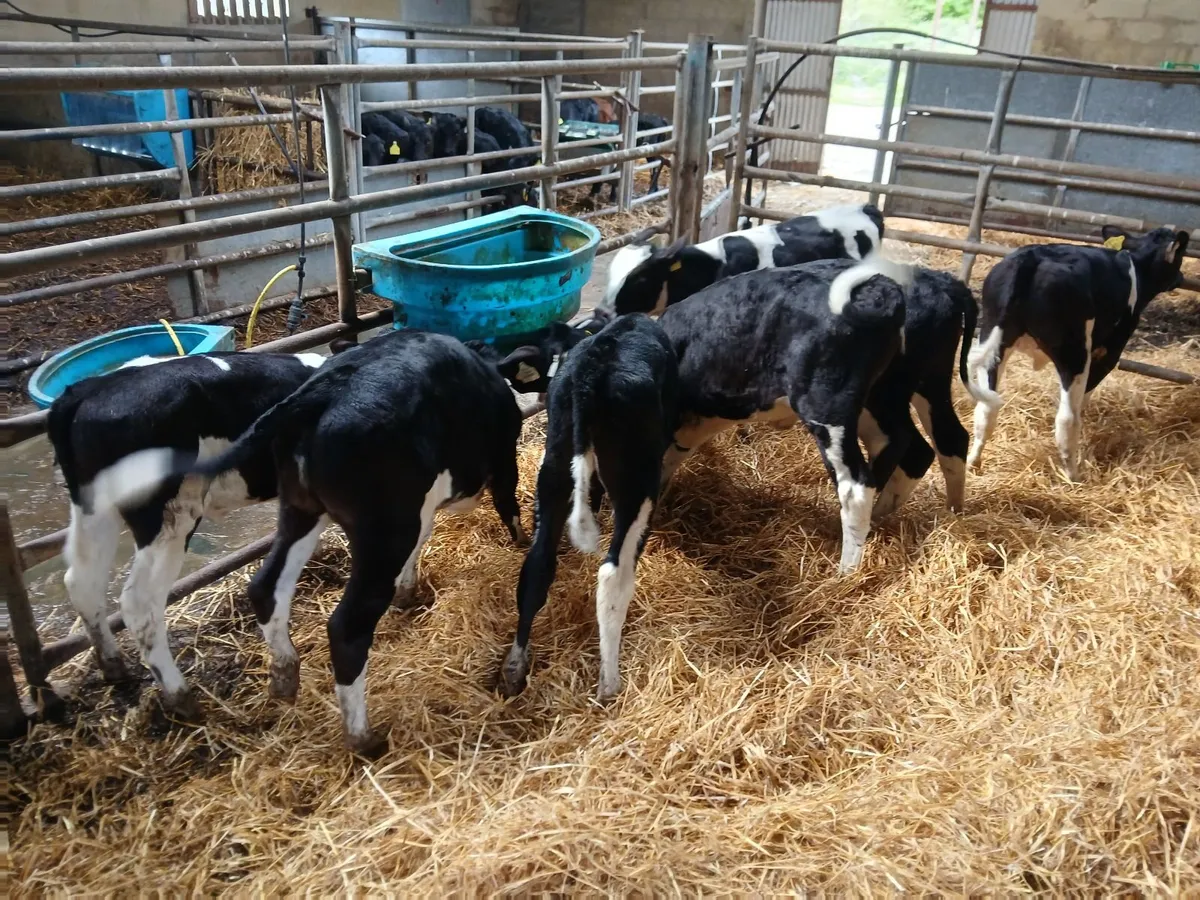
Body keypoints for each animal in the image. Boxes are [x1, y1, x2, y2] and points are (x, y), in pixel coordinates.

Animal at [498, 312, 678, 703]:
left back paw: (514, 666)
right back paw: (609, 684)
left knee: (536, 566)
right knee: (613, 575)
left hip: (554, 467)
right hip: (637, 480)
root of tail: (593, 367)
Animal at [965, 225, 1190, 481]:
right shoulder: (1109, 352)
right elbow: (1084, 399)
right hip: (1074, 354)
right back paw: (1074, 476)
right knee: (1067, 419)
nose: (1182, 278)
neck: (1136, 267)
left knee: (986, 409)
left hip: (993, 340)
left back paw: (973, 462)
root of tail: (1031, 258)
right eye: (1180, 255)